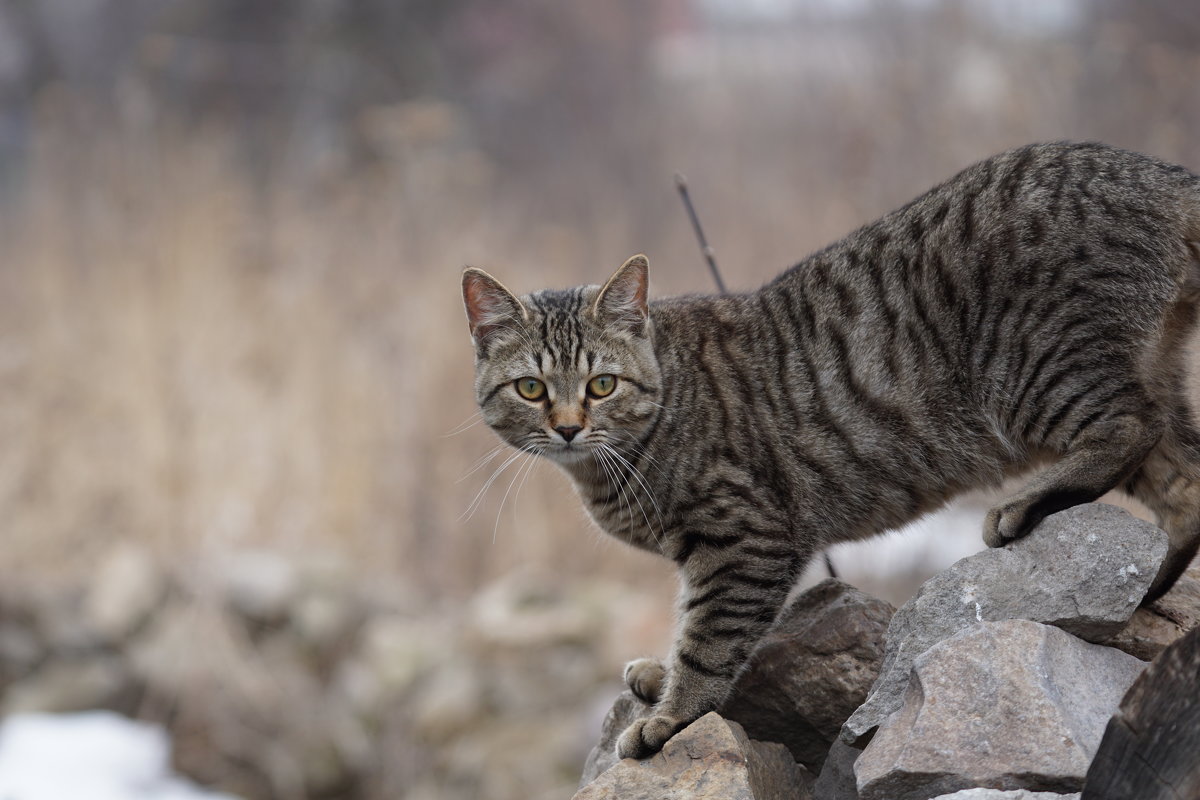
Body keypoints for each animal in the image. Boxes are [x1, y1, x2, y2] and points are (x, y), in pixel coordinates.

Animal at [456, 140, 1200, 762]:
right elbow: (695, 627)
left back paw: (1025, 510)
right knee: (1185, 481)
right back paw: (1149, 590)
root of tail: (1152, 171)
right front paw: (661, 678)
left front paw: (669, 716)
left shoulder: (744, 539)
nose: (567, 426)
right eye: (531, 388)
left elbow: (711, 642)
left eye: (602, 384)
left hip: (1037, 370)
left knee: (1133, 426)